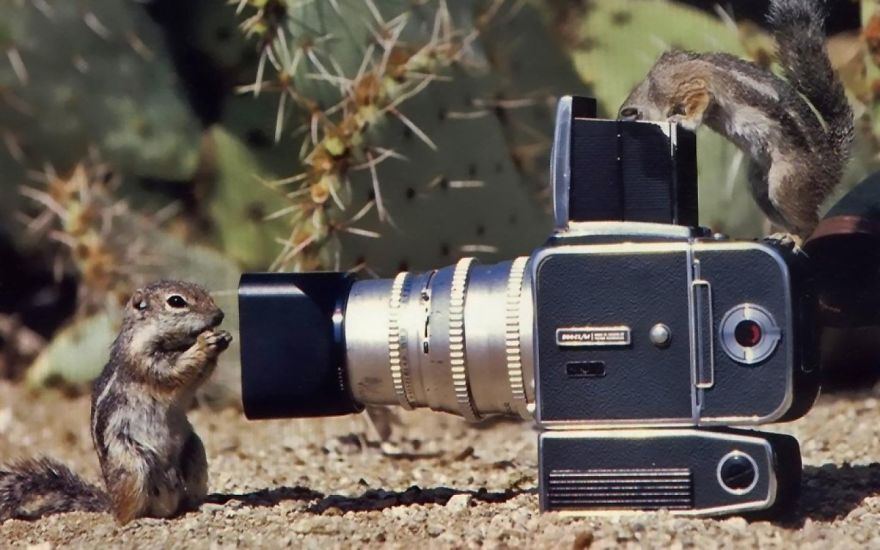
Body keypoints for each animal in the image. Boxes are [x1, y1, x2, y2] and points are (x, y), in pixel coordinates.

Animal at [0, 280, 232, 528]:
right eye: (176, 301)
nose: (219, 315)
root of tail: (111, 503)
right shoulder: (143, 362)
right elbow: (174, 370)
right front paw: (204, 344)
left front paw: (223, 338)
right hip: (134, 466)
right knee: (124, 517)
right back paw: (144, 520)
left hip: (195, 452)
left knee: (187, 501)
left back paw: (207, 504)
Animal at [620, 0, 852, 242]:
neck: (651, 88)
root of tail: (831, 165)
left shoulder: (689, 87)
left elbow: (699, 101)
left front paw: (682, 119)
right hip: (760, 188)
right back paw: (784, 234)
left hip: (785, 183)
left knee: (812, 222)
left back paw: (796, 239)